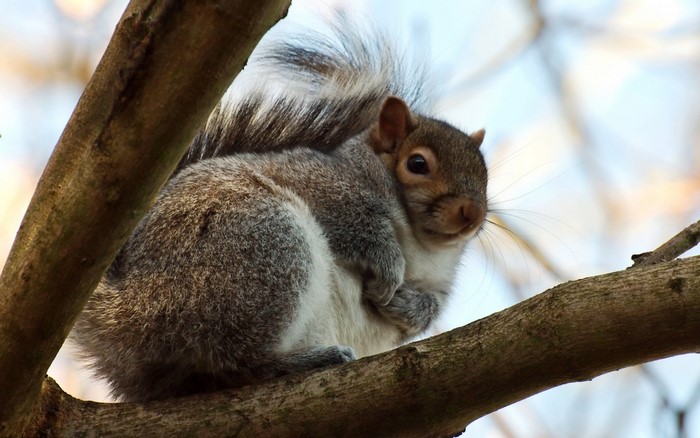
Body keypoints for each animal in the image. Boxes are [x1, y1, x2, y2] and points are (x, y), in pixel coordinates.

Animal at [70, 20, 489, 402]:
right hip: (262, 249)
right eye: (417, 164)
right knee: (234, 360)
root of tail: (126, 316)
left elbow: (430, 307)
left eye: (484, 175)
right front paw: (388, 264)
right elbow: (354, 221)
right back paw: (301, 362)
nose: (473, 213)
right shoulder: (320, 182)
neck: (421, 244)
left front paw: (409, 307)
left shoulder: (438, 282)